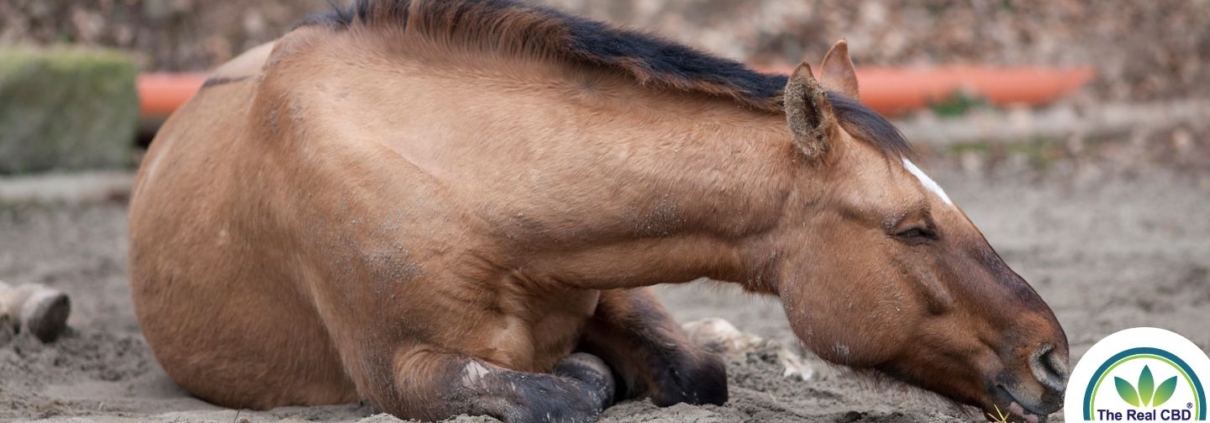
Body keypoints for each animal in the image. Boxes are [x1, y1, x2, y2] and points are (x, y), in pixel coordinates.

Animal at [128, 0, 1070, 421]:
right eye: (912, 227)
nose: (1054, 358)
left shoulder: (614, 277)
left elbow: (695, 372)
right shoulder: (401, 370)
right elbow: (562, 390)